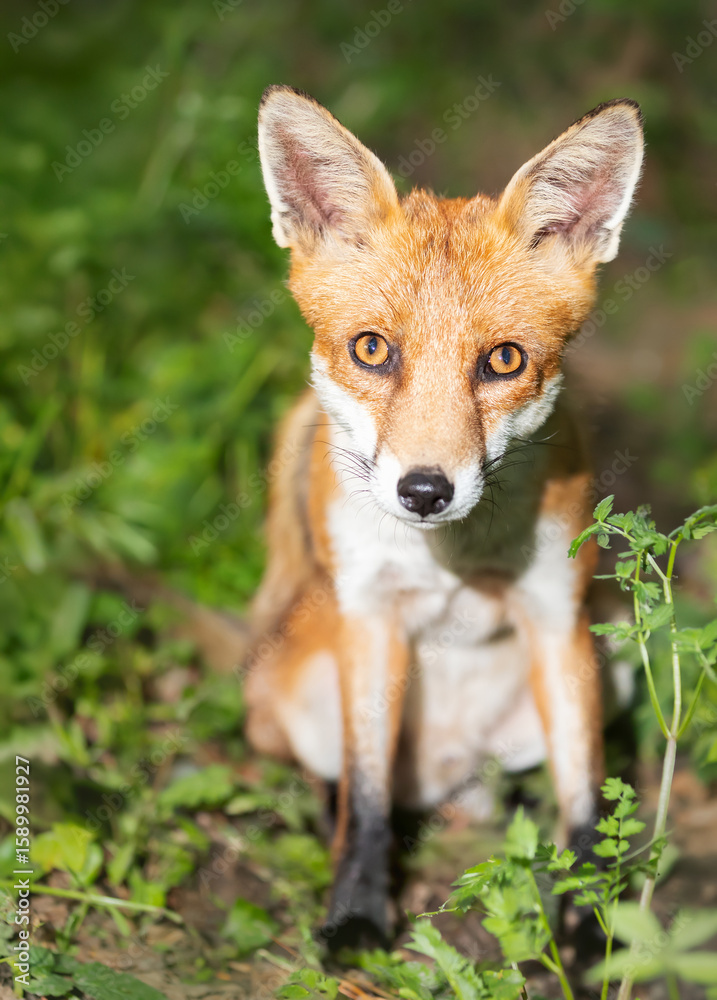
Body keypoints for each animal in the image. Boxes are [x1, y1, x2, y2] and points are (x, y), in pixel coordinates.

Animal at [244, 85, 644, 946]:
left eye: (503, 360)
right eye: (371, 350)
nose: (424, 491)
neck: (454, 558)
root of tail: (445, 776)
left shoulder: (556, 617)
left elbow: (584, 795)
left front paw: (586, 920)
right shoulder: (369, 616)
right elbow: (364, 798)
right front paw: (357, 914)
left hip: (614, 660)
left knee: (518, 781)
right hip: (298, 697)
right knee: (341, 777)